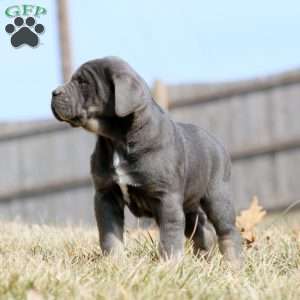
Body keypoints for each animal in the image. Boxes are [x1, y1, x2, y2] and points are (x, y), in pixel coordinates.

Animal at [50, 57, 240, 264]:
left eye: (83, 83)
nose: (54, 92)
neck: (117, 139)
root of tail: (217, 142)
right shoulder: (106, 195)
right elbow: (109, 234)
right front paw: (114, 261)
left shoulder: (167, 198)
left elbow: (169, 236)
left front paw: (170, 264)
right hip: (189, 204)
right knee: (201, 228)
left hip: (217, 196)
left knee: (227, 231)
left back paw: (233, 263)